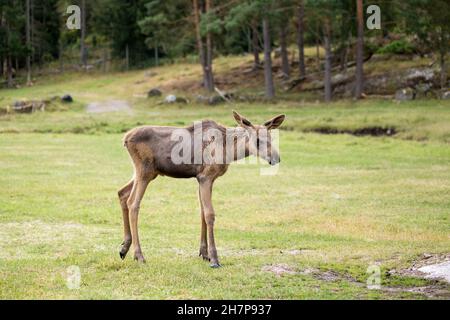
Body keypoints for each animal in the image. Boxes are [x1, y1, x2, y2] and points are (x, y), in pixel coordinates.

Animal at [116, 111, 284, 266]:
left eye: (271, 138)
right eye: (257, 140)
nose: (276, 158)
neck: (229, 150)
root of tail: (125, 139)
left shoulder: (204, 179)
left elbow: (202, 212)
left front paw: (204, 253)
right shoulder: (205, 177)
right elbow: (209, 214)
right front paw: (214, 258)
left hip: (147, 173)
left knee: (122, 193)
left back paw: (124, 248)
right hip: (145, 171)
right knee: (133, 203)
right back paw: (139, 255)